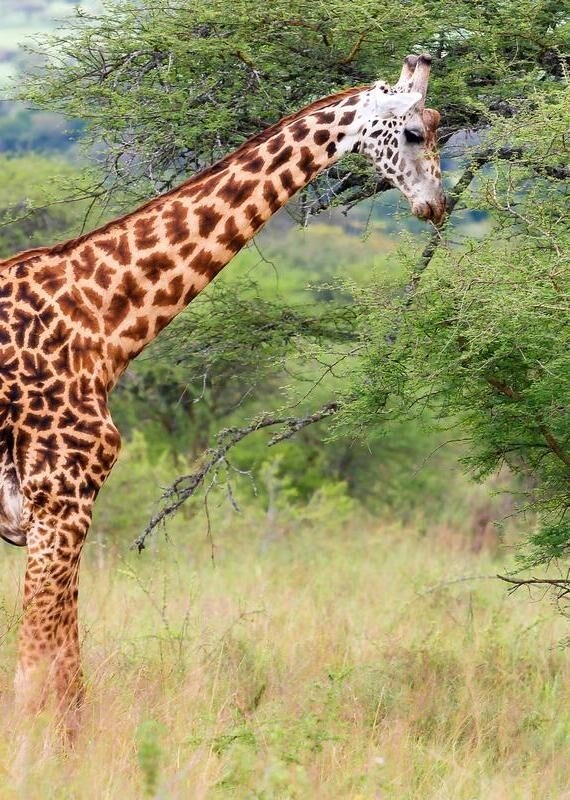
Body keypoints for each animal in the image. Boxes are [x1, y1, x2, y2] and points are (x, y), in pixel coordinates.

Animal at [0, 54, 445, 740]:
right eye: (417, 133)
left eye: (441, 125)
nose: (437, 205)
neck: (103, 319)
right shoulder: (60, 493)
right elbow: (43, 674)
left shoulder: (46, 510)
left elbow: (60, 671)